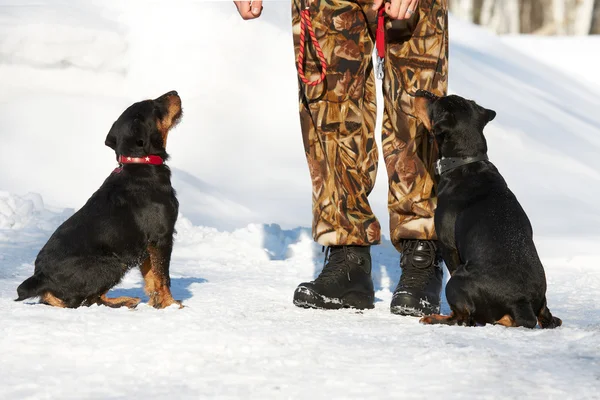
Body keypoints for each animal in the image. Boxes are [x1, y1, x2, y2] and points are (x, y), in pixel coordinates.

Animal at [17, 91, 184, 310]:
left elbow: (151, 278)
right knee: (86, 301)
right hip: (113, 263)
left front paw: (157, 303)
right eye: (155, 105)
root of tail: (41, 278)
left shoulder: (147, 248)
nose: (175, 92)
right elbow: (163, 277)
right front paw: (172, 305)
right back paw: (126, 300)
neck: (141, 164)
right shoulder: (161, 237)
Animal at [414, 90, 560, 328]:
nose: (421, 91)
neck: (466, 162)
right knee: (546, 316)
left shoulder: (448, 244)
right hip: (542, 302)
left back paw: (434, 318)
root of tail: (522, 303)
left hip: (457, 281)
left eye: (436, 102)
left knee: (463, 318)